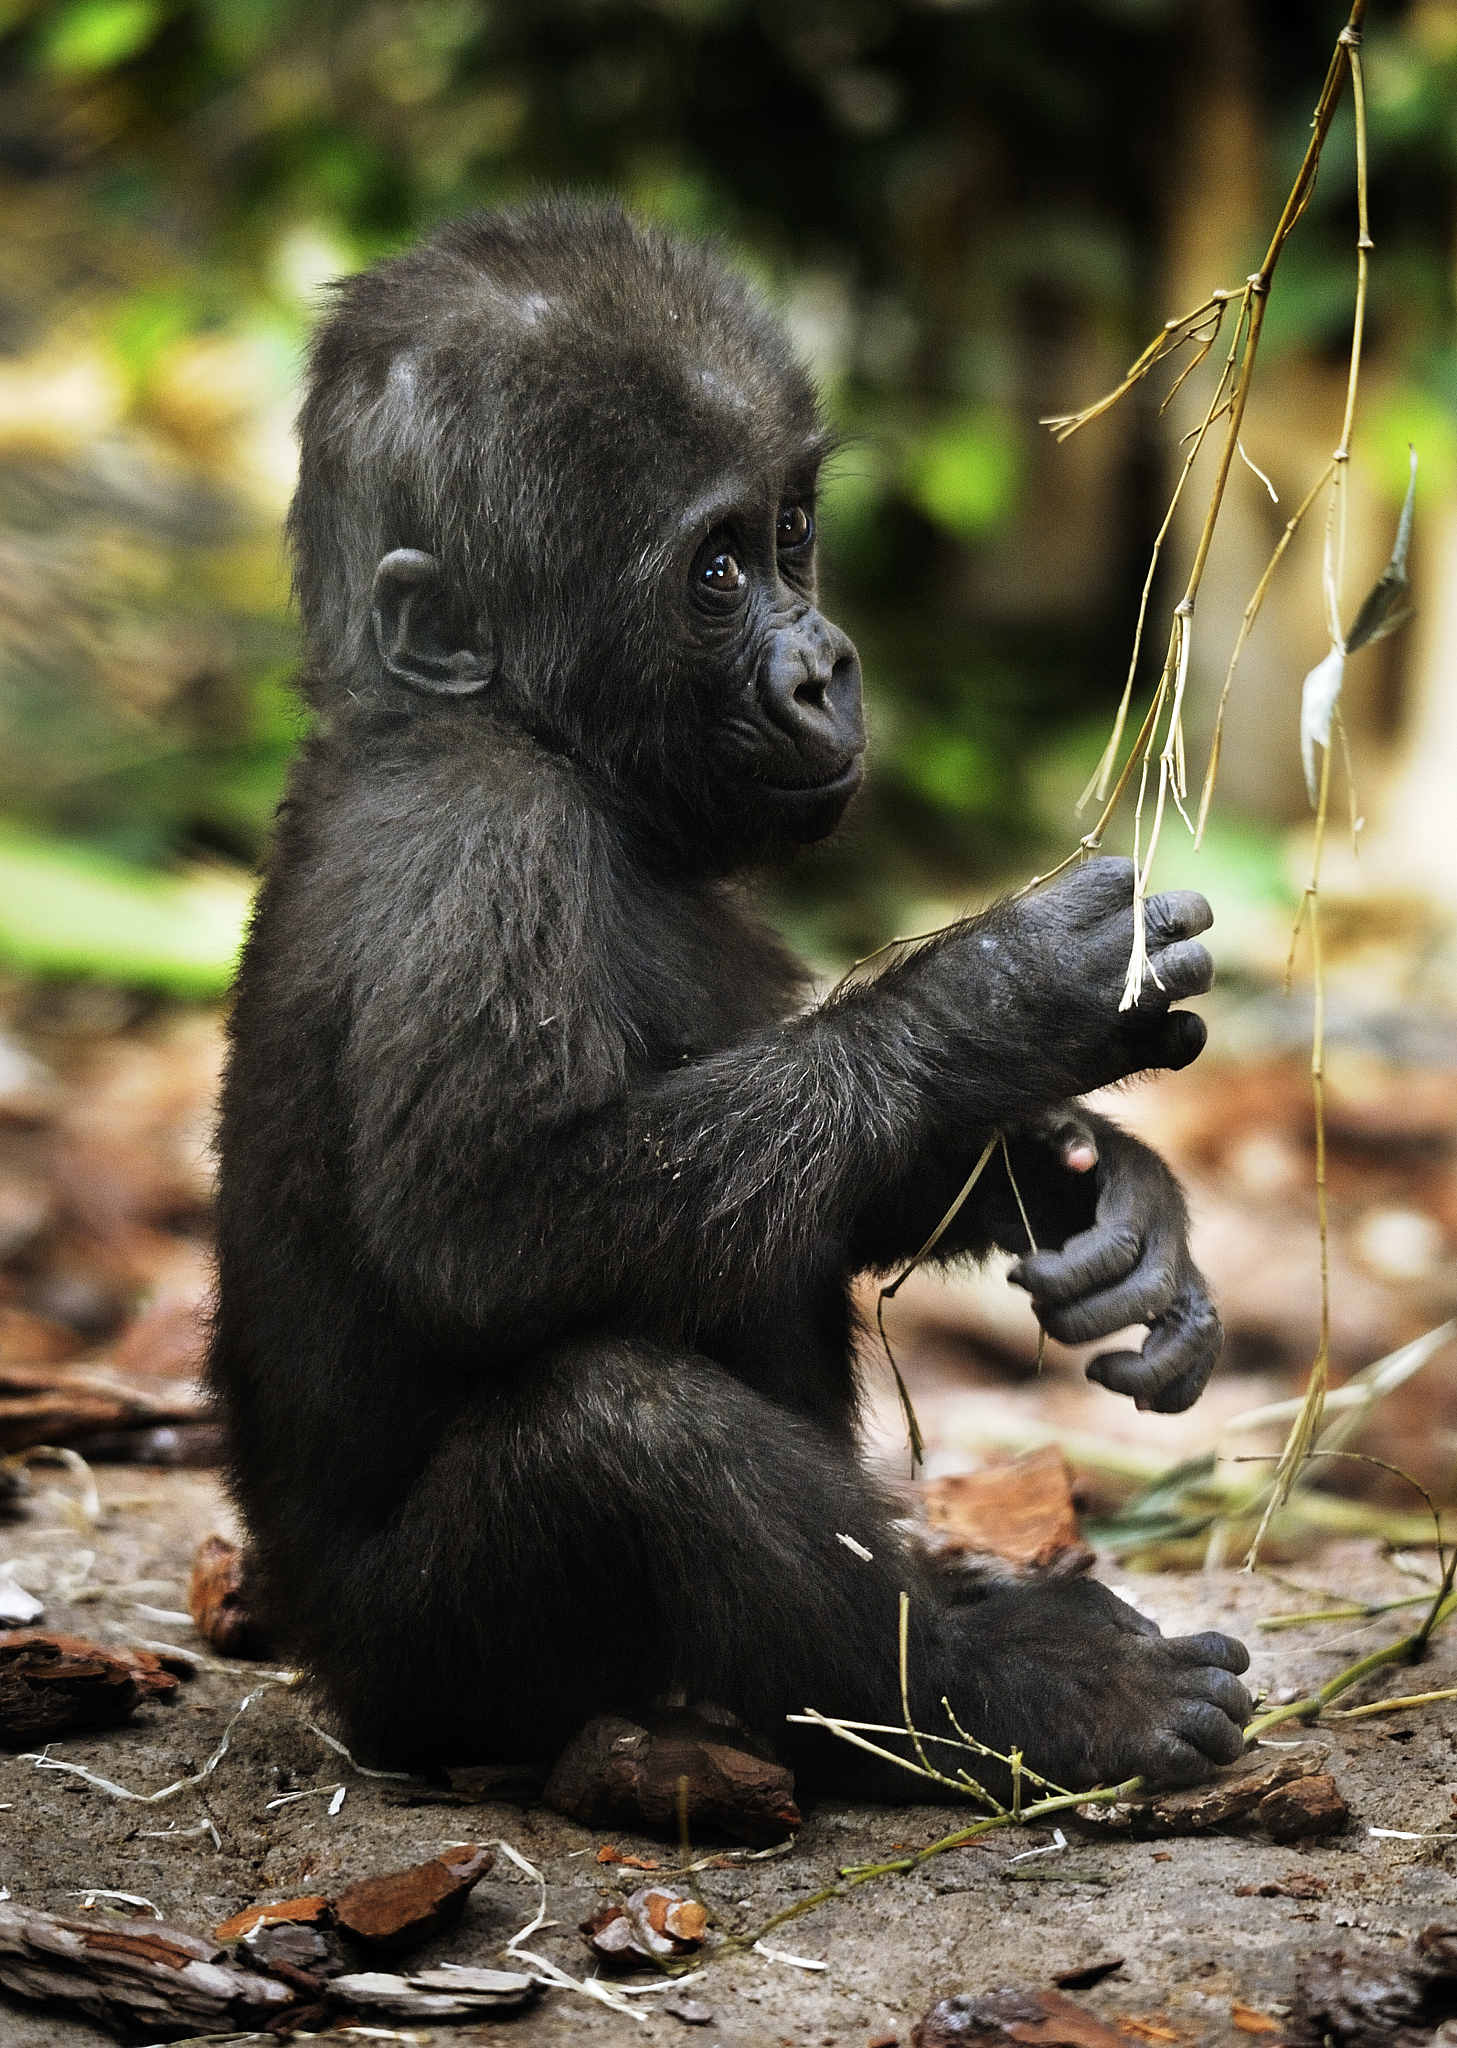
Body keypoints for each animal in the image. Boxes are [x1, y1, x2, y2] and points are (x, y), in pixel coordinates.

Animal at [210, 200, 1248, 1798]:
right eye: (712, 575)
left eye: (792, 536)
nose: (825, 667)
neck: (523, 733)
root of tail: (333, 1686)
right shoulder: (483, 838)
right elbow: (481, 1227)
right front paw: (1001, 999)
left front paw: (1097, 1195)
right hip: (433, 1684)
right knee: (621, 1433)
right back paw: (1000, 1686)